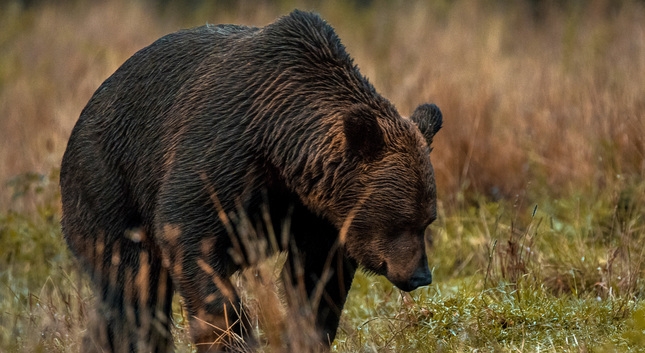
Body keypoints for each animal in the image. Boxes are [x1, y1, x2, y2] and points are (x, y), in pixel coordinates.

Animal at [59, 9, 442, 350]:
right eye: (402, 220)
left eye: (427, 220)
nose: (420, 275)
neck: (281, 146)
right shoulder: (221, 156)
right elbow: (189, 238)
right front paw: (233, 336)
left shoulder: (317, 211)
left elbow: (317, 278)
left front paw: (305, 335)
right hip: (109, 185)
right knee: (134, 286)